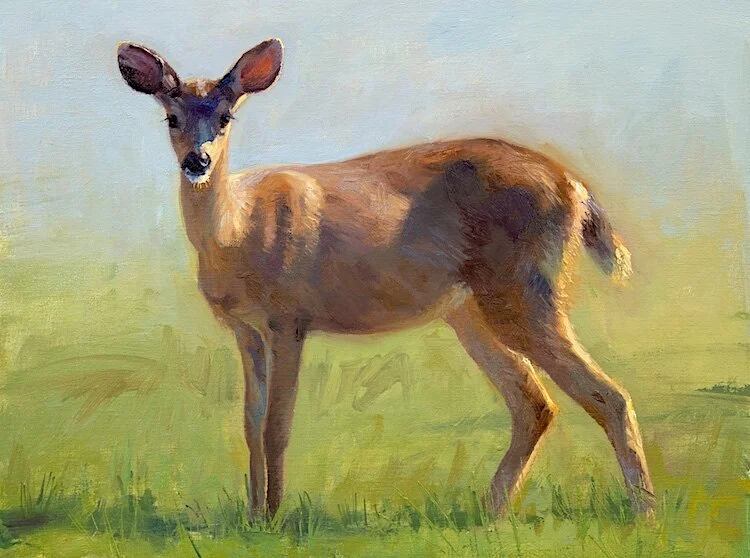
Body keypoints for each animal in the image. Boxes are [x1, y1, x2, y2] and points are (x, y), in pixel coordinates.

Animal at [117, 38, 655, 518]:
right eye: (171, 117)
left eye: (226, 118)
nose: (198, 161)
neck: (237, 232)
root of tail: (577, 186)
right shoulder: (245, 328)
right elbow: (250, 423)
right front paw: (252, 515)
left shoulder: (288, 318)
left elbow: (277, 425)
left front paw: (272, 518)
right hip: (469, 310)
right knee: (535, 404)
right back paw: (491, 512)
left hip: (525, 290)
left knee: (609, 395)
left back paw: (644, 514)